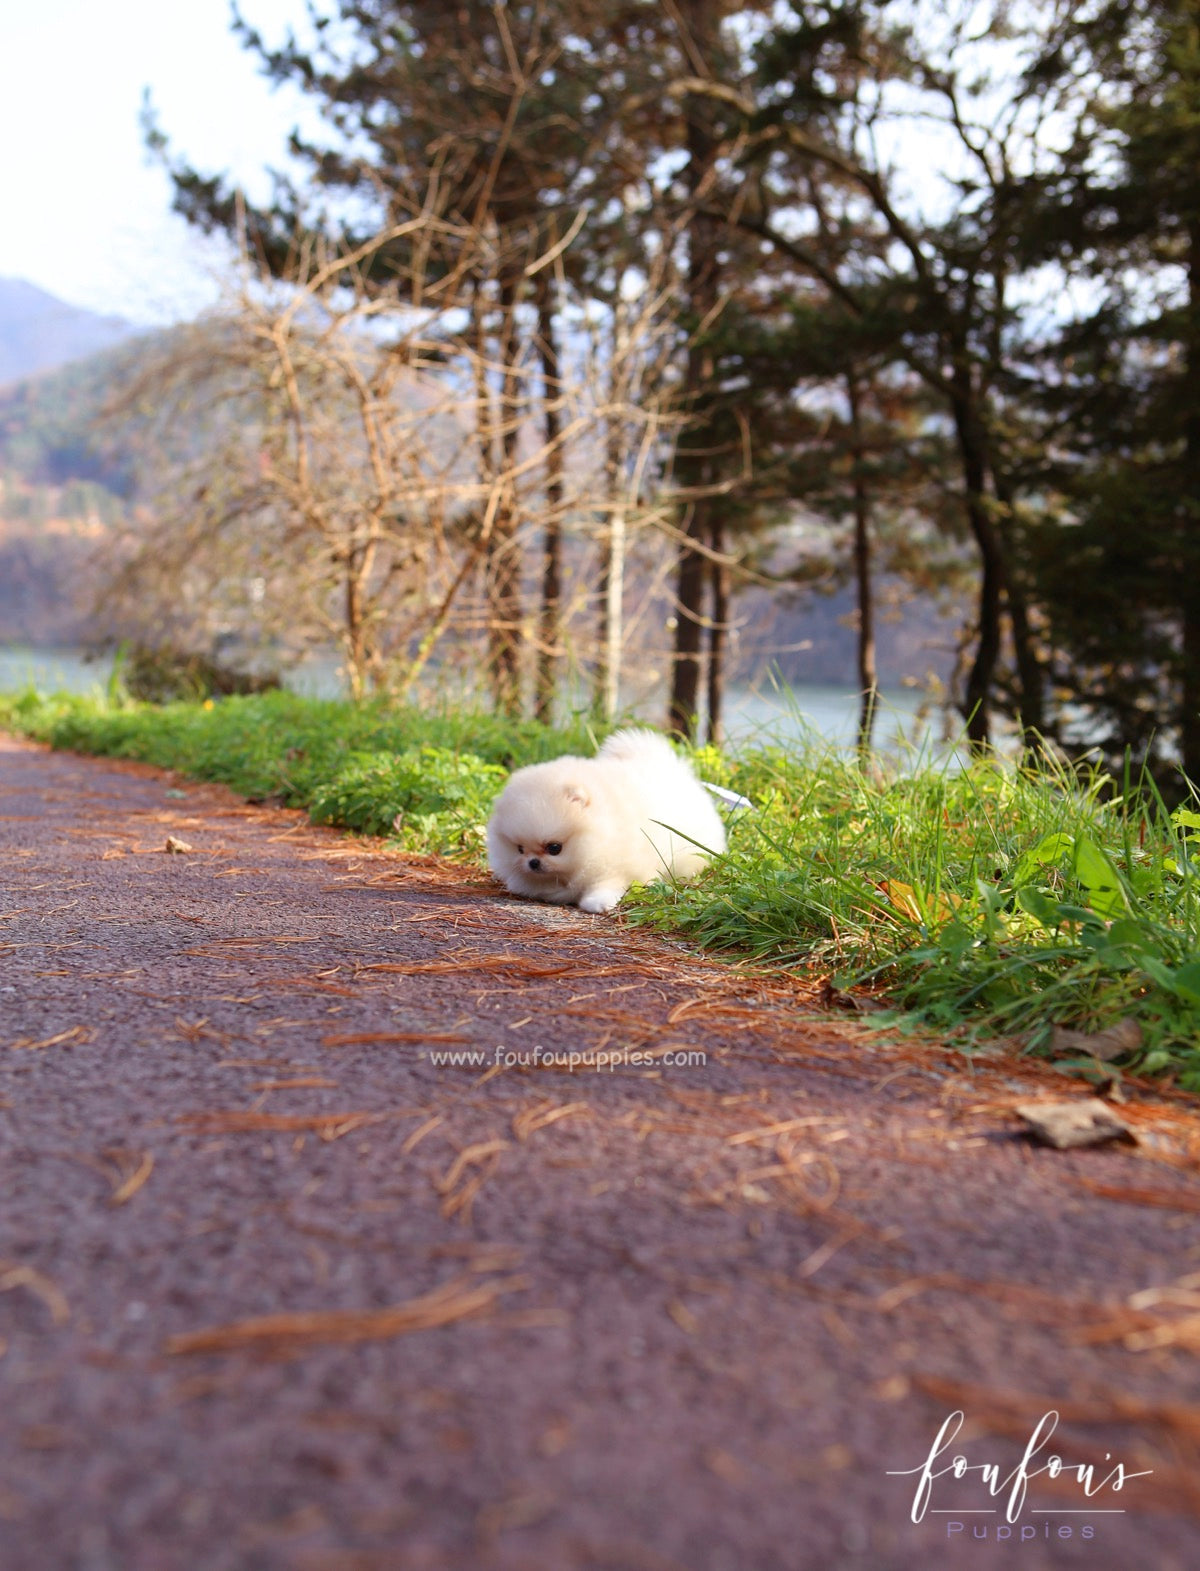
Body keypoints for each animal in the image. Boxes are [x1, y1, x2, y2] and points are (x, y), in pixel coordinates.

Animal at [483, 728, 725, 917]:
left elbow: (608, 882)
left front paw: (597, 902)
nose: (533, 862)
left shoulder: (617, 864)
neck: (604, 828)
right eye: (520, 849)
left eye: (554, 848)